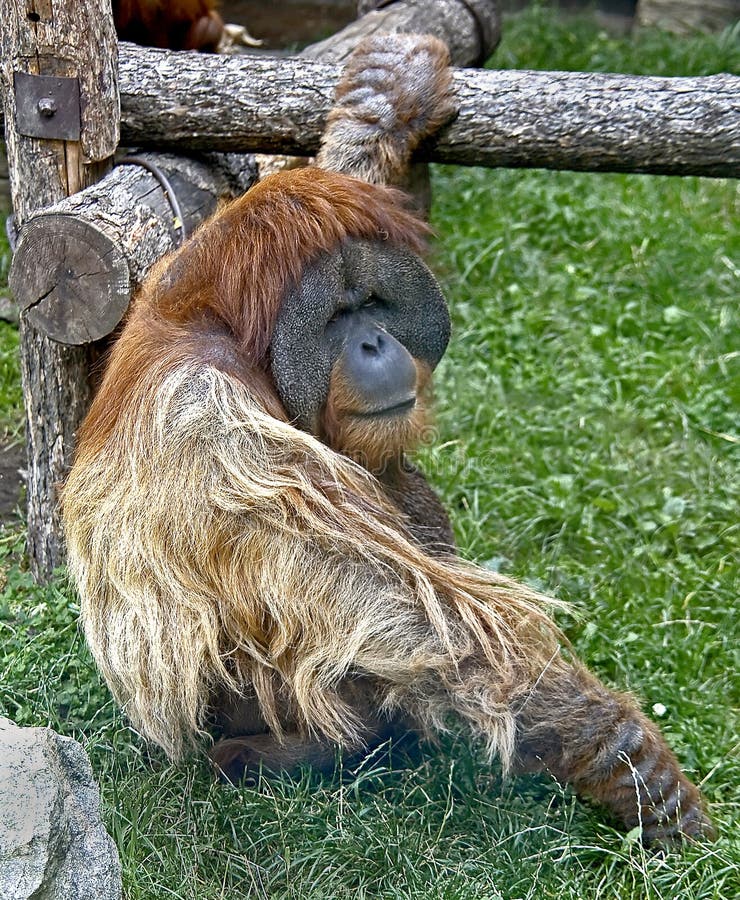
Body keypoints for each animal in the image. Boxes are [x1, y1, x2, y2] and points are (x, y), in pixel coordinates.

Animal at [60, 35, 714, 847]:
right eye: (339, 315)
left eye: (375, 302)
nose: (373, 341)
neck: (236, 340)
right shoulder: (219, 433)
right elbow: (429, 629)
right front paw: (635, 768)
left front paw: (384, 96)